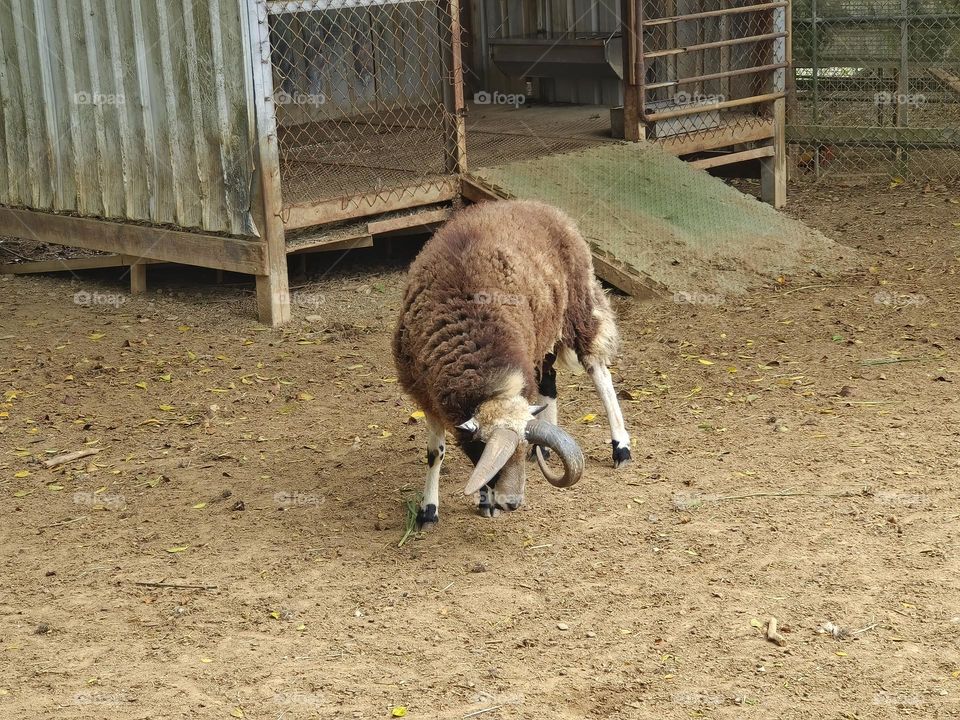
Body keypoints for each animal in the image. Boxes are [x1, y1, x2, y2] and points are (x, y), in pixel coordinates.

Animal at [392, 200, 631, 528]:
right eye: (482, 448)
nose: (513, 502)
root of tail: (536, 205)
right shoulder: (426, 393)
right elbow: (435, 452)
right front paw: (429, 511)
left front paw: (485, 504)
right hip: (543, 330)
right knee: (549, 382)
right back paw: (546, 447)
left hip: (578, 305)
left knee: (599, 370)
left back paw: (621, 447)